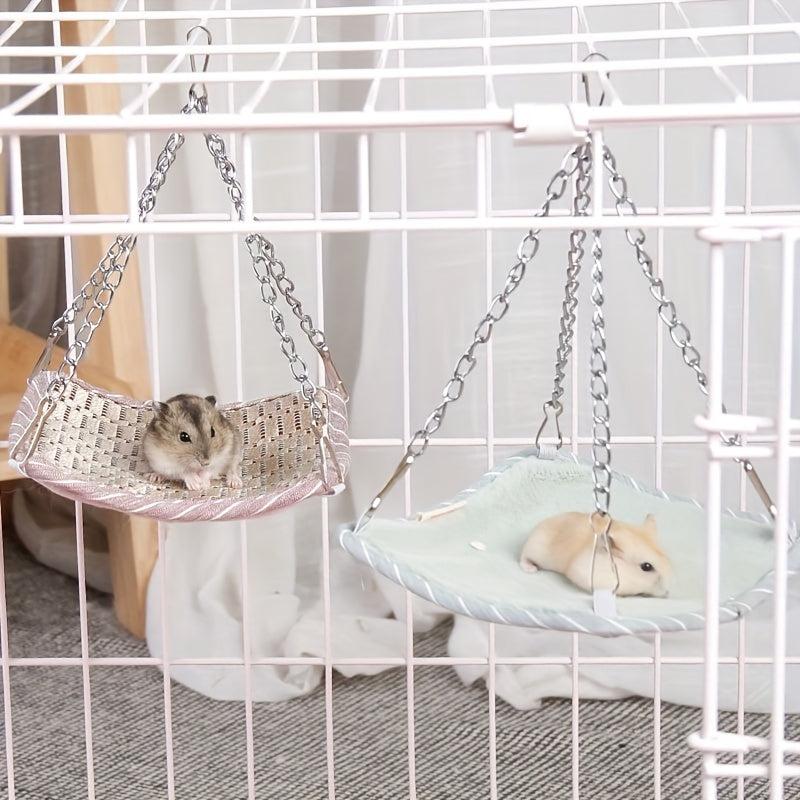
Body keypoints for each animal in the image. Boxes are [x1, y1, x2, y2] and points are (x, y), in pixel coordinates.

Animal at [519, 512, 672, 597]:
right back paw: (531, 569)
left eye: (667, 559)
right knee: (523, 558)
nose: (668, 591)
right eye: (646, 567)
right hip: (534, 548)